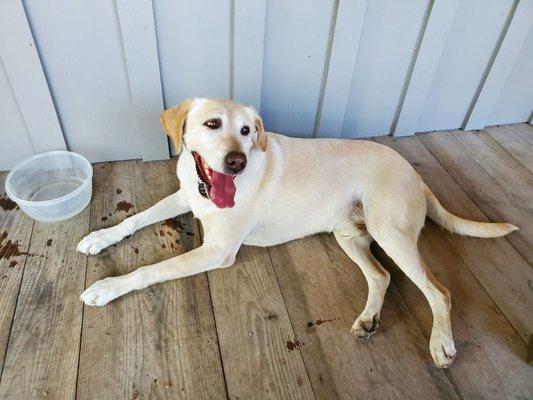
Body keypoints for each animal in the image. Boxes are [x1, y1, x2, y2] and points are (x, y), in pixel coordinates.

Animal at [78, 97, 516, 368]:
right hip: (350, 236)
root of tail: (416, 175)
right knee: (382, 276)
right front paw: (101, 237)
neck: (206, 190)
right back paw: (368, 318)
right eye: (212, 124)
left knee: (439, 292)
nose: (236, 162)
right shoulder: (187, 195)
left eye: (247, 131)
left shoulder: (218, 250)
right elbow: (137, 219)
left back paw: (441, 343)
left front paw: (109, 286)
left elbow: (150, 270)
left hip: (390, 233)